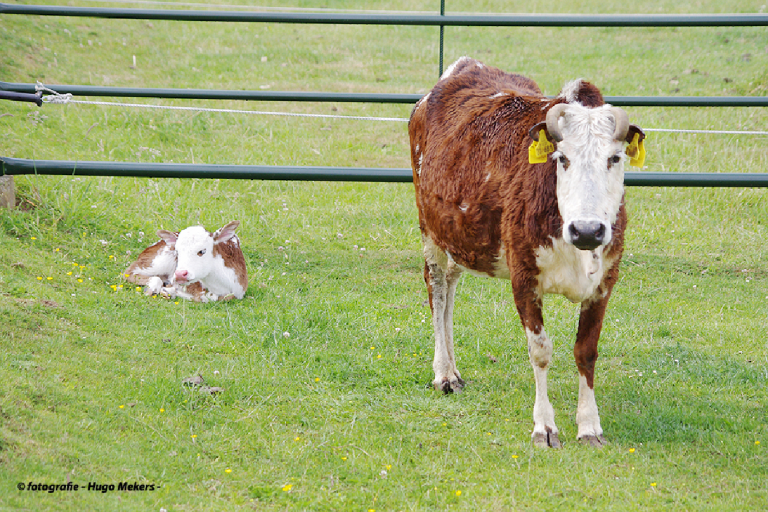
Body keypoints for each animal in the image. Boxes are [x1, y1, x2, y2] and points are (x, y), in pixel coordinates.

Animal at [412, 58, 644, 446]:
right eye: (561, 158)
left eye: (615, 158)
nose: (587, 230)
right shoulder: (523, 278)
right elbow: (541, 351)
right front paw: (545, 426)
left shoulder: (604, 283)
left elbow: (586, 351)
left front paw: (589, 425)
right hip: (430, 230)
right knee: (438, 290)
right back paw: (443, 373)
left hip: (459, 235)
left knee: (452, 288)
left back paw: (455, 372)